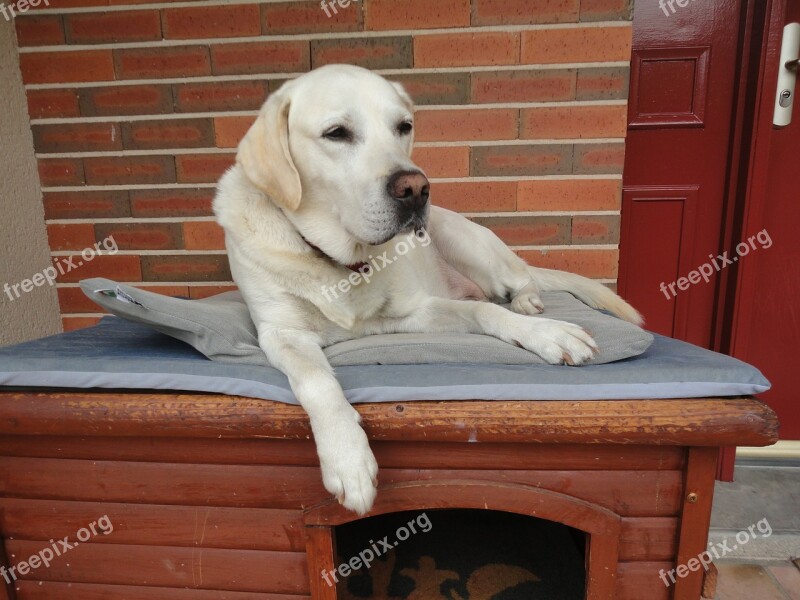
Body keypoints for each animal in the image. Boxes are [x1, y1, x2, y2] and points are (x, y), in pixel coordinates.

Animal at [214, 64, 644, 516]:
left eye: (403, 127)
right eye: (336, 133)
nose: (416, 188)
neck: (344, 262)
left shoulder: (416, 311)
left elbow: (487, 312)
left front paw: (548, 334)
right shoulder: (280, 333)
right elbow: (316, 379)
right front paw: (348, 458)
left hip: (463, 241)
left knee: (516, 282)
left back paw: (528, 301)